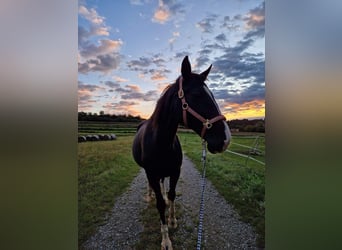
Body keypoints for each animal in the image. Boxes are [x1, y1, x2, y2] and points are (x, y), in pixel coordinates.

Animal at [132, 55, 231, 249]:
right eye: (197, 95)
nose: (225, 139)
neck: (161, 143)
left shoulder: (175, 172)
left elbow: (171, 196)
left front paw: (172, 221)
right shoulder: (152, 173)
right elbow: (160, 204)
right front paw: (165, 240)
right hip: (149, 173)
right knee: (151, 186)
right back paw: (149, 195)